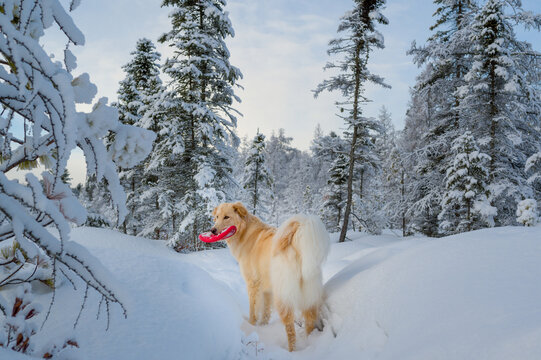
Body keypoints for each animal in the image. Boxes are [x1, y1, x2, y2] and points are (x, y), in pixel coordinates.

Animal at [211, 202, 330, 352]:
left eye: (226, 217)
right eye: (217, 217)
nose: (212, 230)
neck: (246, 233)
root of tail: (296, 245)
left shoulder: (252, 284)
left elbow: (253, 309)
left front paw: (252, 325)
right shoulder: (267, 290)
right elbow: (266, 311)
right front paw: (263, 325)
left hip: (283, 299)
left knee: (290, 330)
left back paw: (291, 350)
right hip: (309, 298)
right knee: (309, 321)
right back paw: (308, 343)